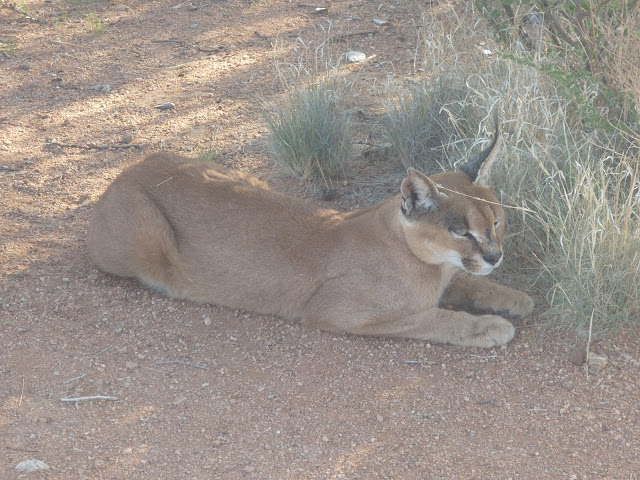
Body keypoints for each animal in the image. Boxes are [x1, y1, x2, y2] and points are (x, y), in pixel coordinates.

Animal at [87, 124, 533, 348]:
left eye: (497, 222)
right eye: (462, 232)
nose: (495, 256)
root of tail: (127, 171)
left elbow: (470, 284)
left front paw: (515, 297)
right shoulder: (337, 311)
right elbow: (428, 316)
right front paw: (488, 327)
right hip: (144, 238)